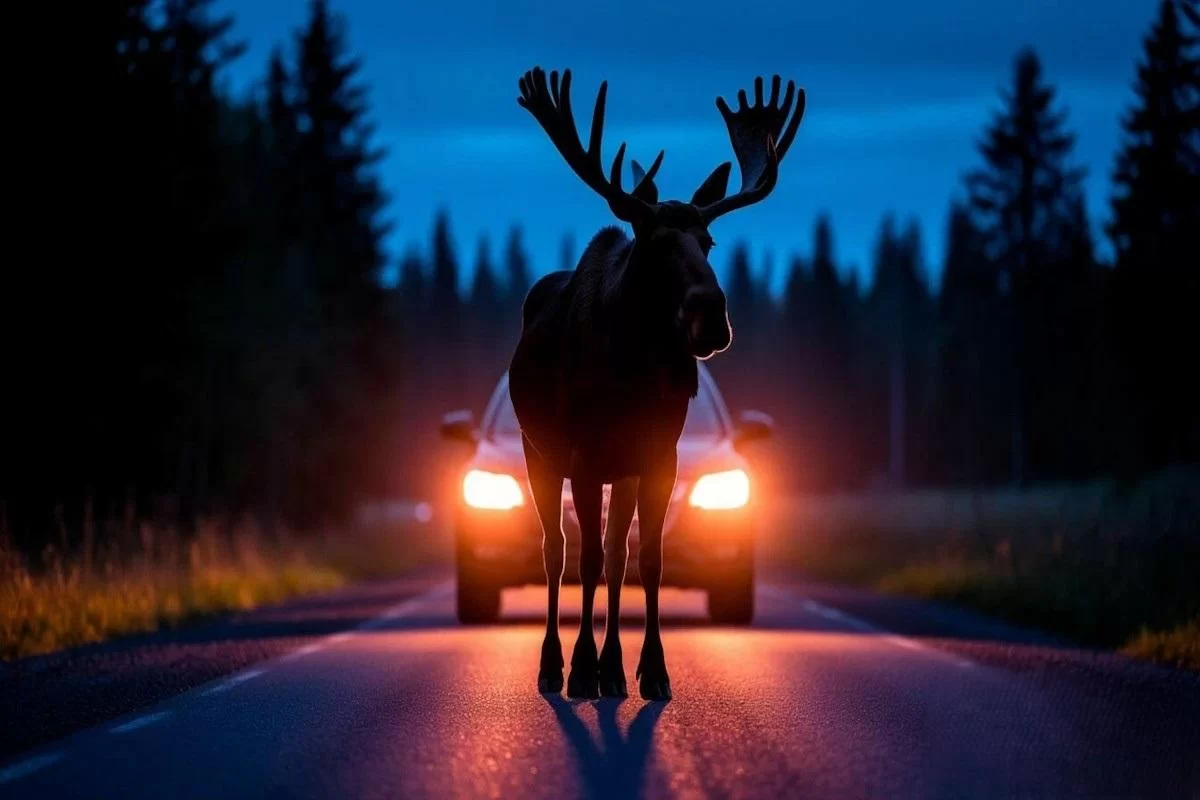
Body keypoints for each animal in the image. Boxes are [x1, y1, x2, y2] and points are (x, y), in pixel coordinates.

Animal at [509, 66, 805, 700]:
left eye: (709, 242)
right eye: (655, 244)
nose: (711, 314)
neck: (632, 374)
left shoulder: (655, 456)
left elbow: (647, 560)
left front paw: (650, 670)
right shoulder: (584, 456)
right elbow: (588, 561)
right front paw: (583, 671)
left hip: (619, 469)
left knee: (615, 554)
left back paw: (615, 670)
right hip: (537, 452)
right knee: (556, 551)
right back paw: (552, 665)